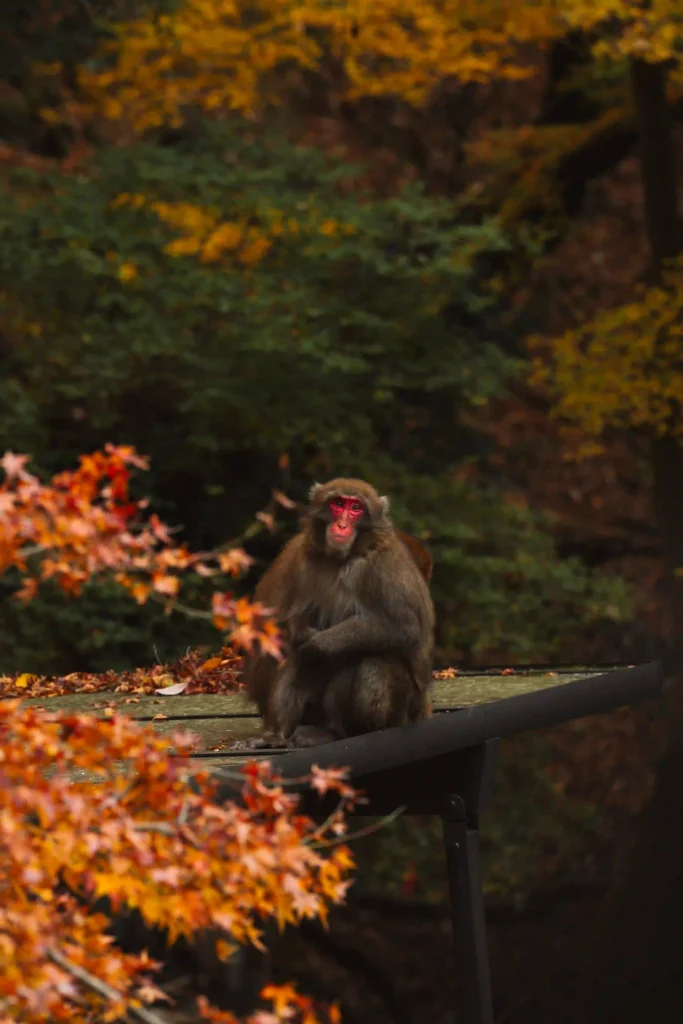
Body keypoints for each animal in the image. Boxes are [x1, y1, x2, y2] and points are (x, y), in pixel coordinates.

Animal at [240, 478, 435, 750]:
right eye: (338, 504)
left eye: (356, 508)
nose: (342, 524)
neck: (343, 558)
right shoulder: (304, 559)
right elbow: (290, 622)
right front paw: (304, 635)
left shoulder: (385, 567)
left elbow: (403, 627)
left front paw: (318, 645)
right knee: (297, 657)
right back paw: (277, 734)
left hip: (402, 712)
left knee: (369, 657)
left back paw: (339, 732)